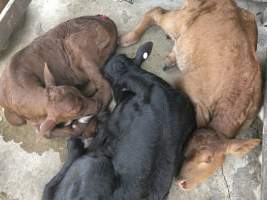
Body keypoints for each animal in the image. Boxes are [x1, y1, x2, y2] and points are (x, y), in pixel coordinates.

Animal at [42, 42, 197, 200]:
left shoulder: (110, 126)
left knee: (50, 186)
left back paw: (74, 146)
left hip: (96, 164)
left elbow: (97, 139)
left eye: (106, 75)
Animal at [122, 0, 264, 191]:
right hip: (179, 21)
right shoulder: (185, 83)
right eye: (186, 150)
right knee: (156, 12)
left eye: (208, 160)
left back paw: (171, 58)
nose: (182, 182)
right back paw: (129, 38)